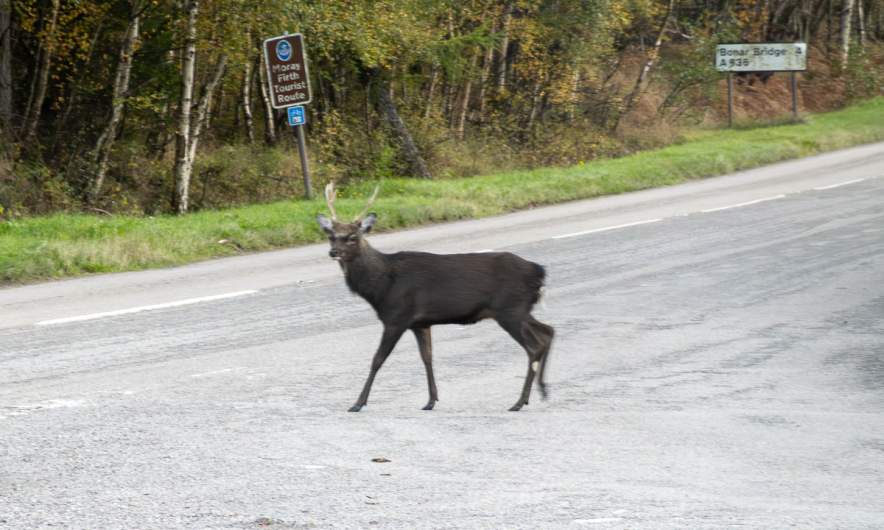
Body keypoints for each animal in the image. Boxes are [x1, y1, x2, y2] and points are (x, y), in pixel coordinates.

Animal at [317, 182, 555, 412]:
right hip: (520, 310)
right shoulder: (420, 323)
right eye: (331, 236)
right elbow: (427, 357)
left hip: (510, 310)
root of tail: (539, 272)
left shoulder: (397, 317)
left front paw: (358, 403)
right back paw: (542, 391)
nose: (333, 252)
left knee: (534, 347)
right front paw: (431, 400)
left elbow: (377, 360)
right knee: (548, 332)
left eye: (352, 237)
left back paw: (519, 401)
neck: (382, 284)